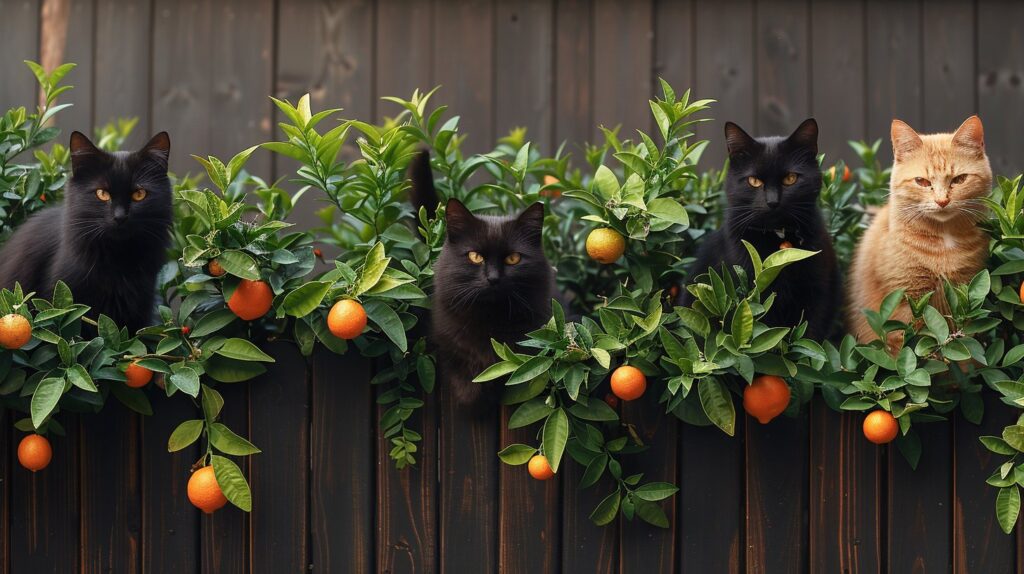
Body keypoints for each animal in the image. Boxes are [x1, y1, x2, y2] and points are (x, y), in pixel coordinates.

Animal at [407, 151, 552, 411]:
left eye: (513, 258)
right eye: (475, 256)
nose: (493, 278)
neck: (490, 321)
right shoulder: (445, 338)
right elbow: (459, 366)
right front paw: (470, 394)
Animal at [679, 118, 839, 337]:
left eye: (790, 178)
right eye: (754, 181)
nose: (772, 201)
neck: (779, 238)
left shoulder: (819, 291)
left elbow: (812, 333)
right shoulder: (750, 296)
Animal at [847, 114, 991, 347]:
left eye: (959, 179)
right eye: (921, 181)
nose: (942, 201)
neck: (944, 240)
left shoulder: (966, 292)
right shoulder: (905, 303)